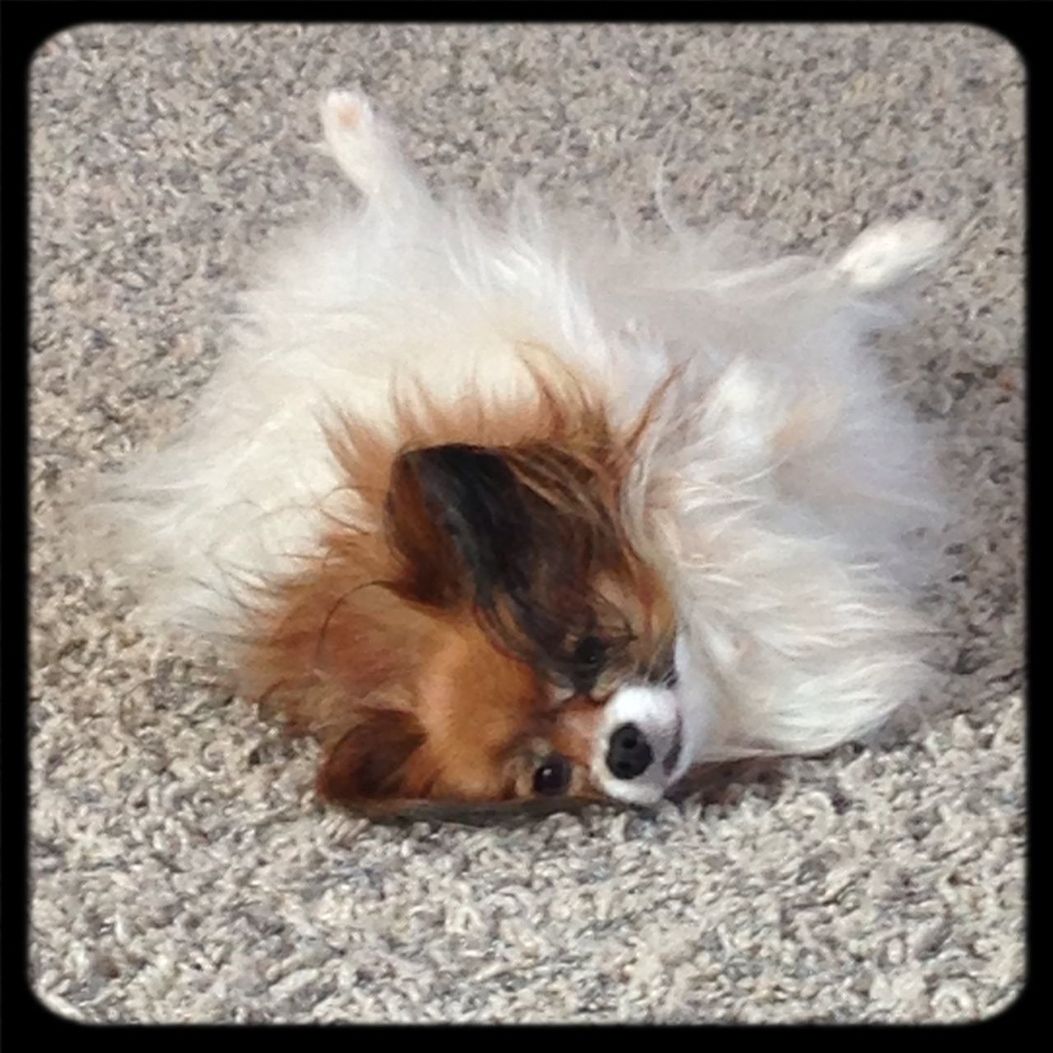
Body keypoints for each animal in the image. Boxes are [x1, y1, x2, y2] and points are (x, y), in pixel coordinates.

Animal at [82, 92, 951, 812]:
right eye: (549, 774)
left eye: (586, 647)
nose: (624, 753)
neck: (721, 636)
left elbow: (735, 402)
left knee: (407, 206)